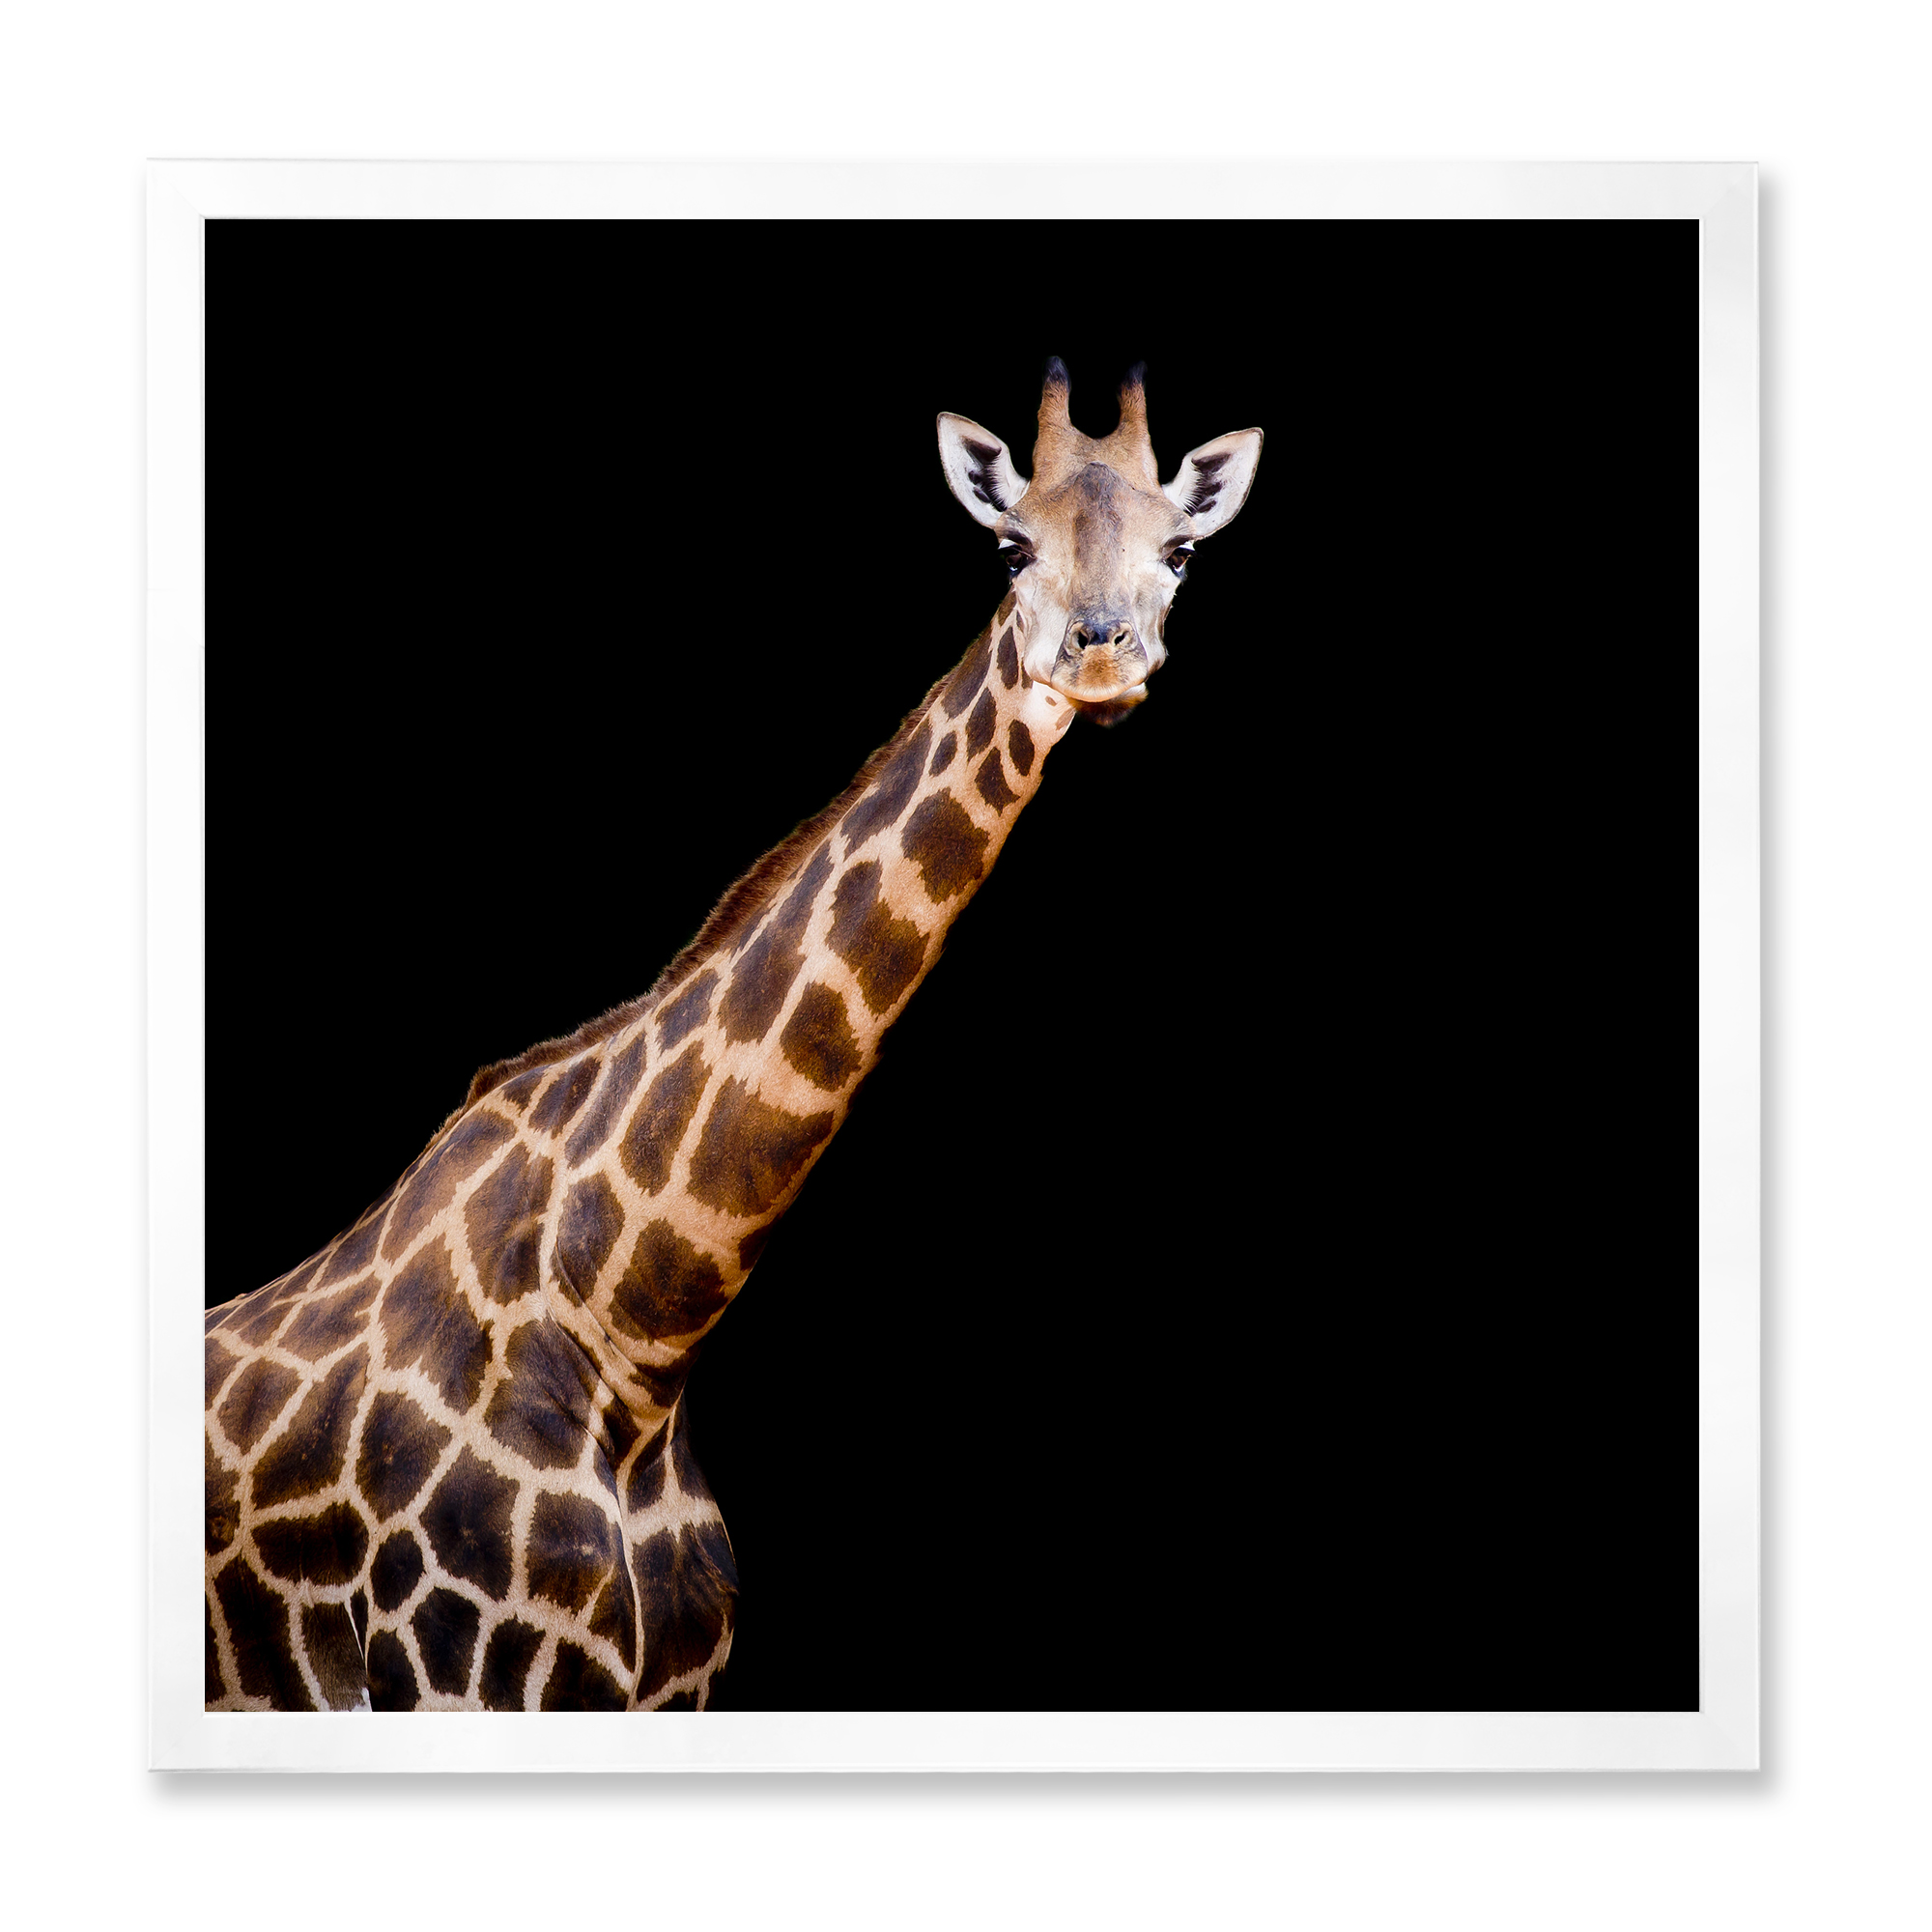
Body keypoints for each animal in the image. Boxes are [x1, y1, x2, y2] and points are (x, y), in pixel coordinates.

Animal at [203, 360, 1263, 1711]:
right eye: (1009, 545)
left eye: (1178, 549)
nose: (1097, 655)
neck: (633, 1334)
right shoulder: (448, 1678)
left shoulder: (671, 1690)